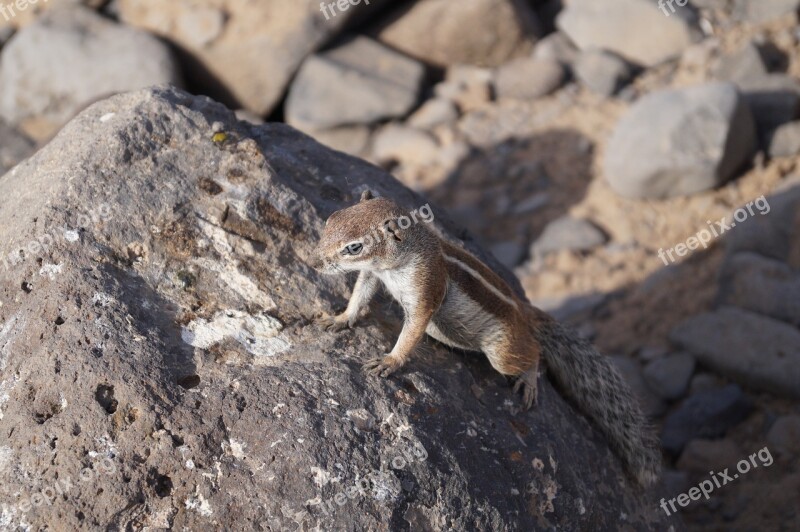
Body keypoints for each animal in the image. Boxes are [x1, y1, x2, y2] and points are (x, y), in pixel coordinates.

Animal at [312, 192, 664, 486]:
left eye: (354, 247)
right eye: (330, 220)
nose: (315, 262)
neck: (405, 255)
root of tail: (524, 313)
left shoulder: (425, 291)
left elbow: (412, 330)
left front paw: (390, 360)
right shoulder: (373, 275)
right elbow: (360, 293)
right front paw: (340, 318)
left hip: (502, 351)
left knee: (534, 352)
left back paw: (529, 379)